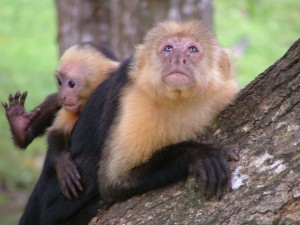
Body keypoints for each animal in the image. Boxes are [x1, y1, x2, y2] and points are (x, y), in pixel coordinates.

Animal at [2, 41, 119, 199]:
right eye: (59, 81)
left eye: (71, 84)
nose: (63, 95)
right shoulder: (67, 107)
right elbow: (56, 132)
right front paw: (63, 164)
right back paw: (19, 127)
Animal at [18, 20, 239, 224]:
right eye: (168, 48)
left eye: (192, 49)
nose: (177, 59)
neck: (179, 99)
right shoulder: (133, 98)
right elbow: (115, 181)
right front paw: (196, 154)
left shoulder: (225, 92)